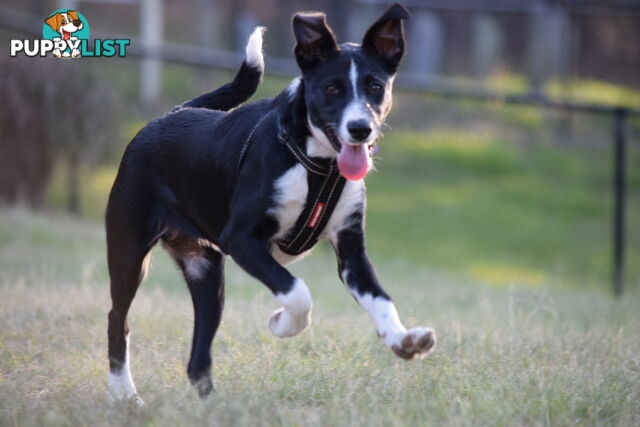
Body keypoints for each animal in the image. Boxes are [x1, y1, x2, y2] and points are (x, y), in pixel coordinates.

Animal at [106, 4, 436, 404]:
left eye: (376, 86)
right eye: (331, 88)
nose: (361, 129)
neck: (318, 165)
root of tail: (167, 116)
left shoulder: (351, 251)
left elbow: (381, 300)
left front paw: (403, 339)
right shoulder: (242, 240)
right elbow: (298, 292)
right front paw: (283, 324)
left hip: (206, 273)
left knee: (198, 355)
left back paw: (211, 405)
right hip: (129, 252)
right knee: (117, 320)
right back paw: (125, 394)